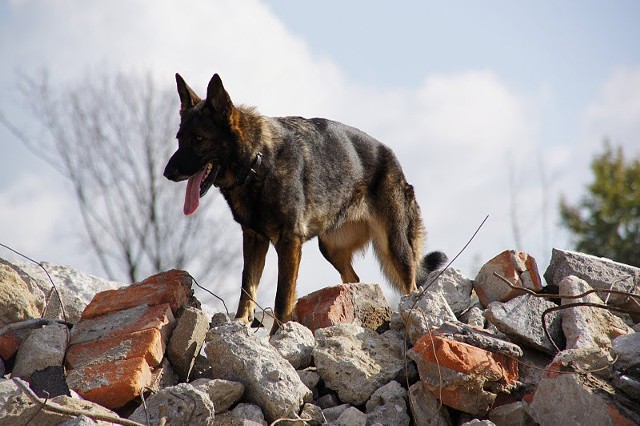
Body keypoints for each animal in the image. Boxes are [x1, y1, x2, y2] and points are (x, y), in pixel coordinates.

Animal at [165, 72, 444, 332]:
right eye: (179, 139)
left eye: (198, 140)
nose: (167, 173)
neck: (257, 161)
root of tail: (392, 157)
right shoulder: (254, 239)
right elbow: (247, 285)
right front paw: (241, 323)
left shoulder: (289, 242)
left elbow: (282, 298)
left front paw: (278, 336)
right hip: (331, 247)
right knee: (353, 278)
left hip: (394, 247)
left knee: (410, 283)